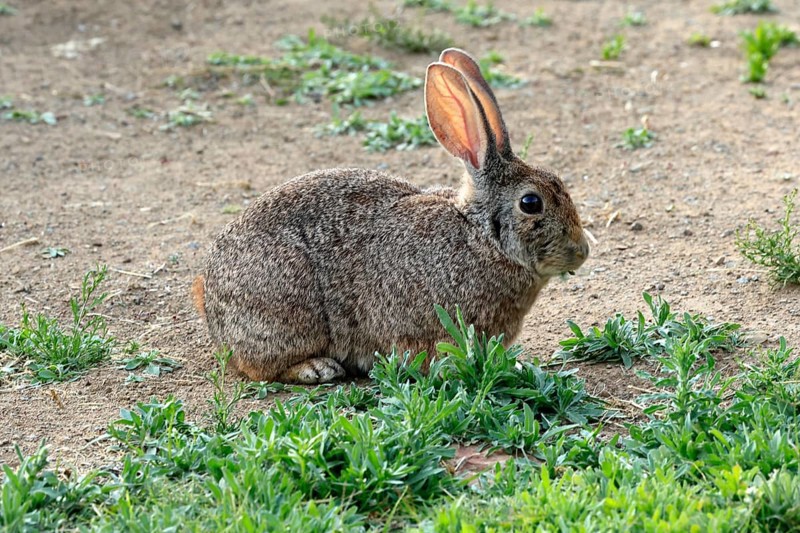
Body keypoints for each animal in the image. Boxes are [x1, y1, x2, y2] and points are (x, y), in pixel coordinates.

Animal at [193, 48, 589, 384]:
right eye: (531, 203)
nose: (582, 251)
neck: (480, 238)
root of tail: (209, 301)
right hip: (285, 309)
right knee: (259, 366)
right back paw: (316, 368)